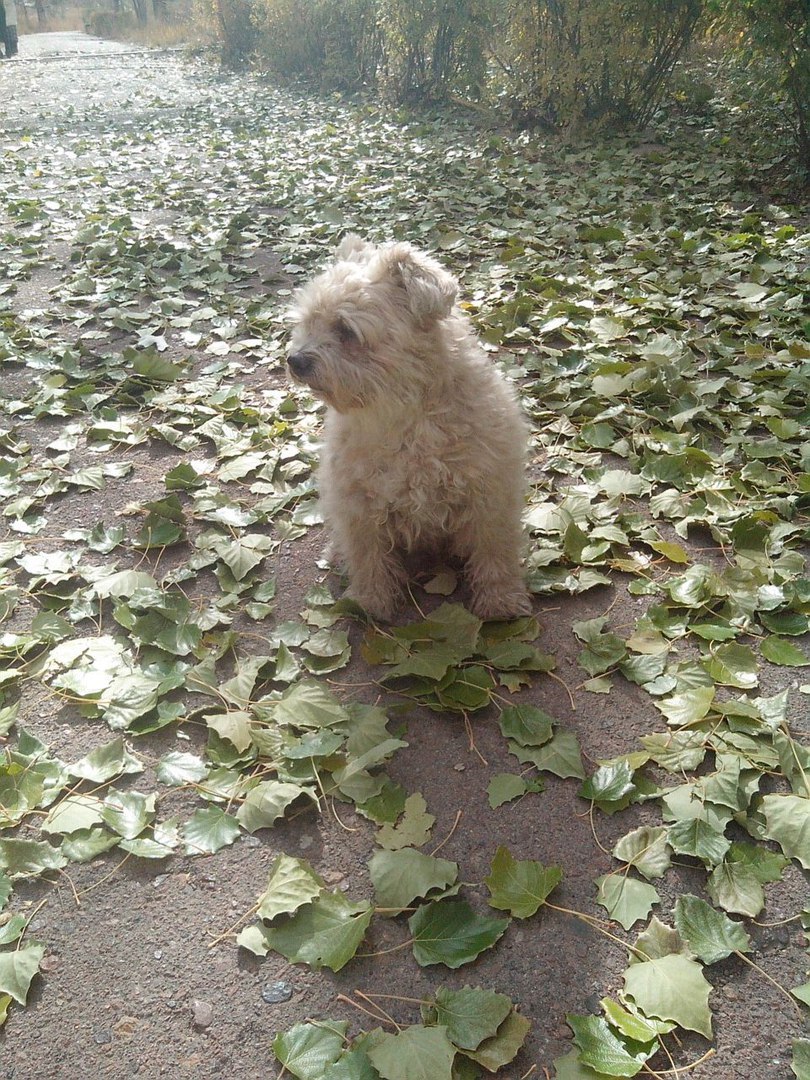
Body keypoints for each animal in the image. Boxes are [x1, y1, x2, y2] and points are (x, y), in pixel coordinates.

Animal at [285, 238, 533, 626]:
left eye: (345, 330)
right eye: (309, 322)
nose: (294, 361)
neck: (404, 414)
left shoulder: (490, 495)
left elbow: (495, 550)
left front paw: (500, 600)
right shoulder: (358, 504)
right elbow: (368, 557)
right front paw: (371, 602)